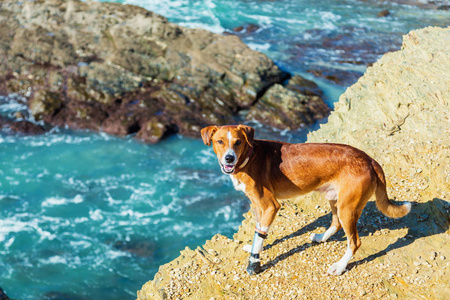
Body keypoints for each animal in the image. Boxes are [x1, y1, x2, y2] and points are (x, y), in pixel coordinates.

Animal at [201, 125, 412, 276]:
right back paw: (321, 237)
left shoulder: (270, 206)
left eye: (238, 142)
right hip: (335, 200)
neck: (249, 157)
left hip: (348, 207)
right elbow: (259, 231)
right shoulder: (257, 205)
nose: (229, 158)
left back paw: (339, 266)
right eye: (220, 141)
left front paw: (255, 262)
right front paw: (255, 247)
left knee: (354, 242)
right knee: (335, 223)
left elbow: (261, 233)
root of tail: (370, 160)